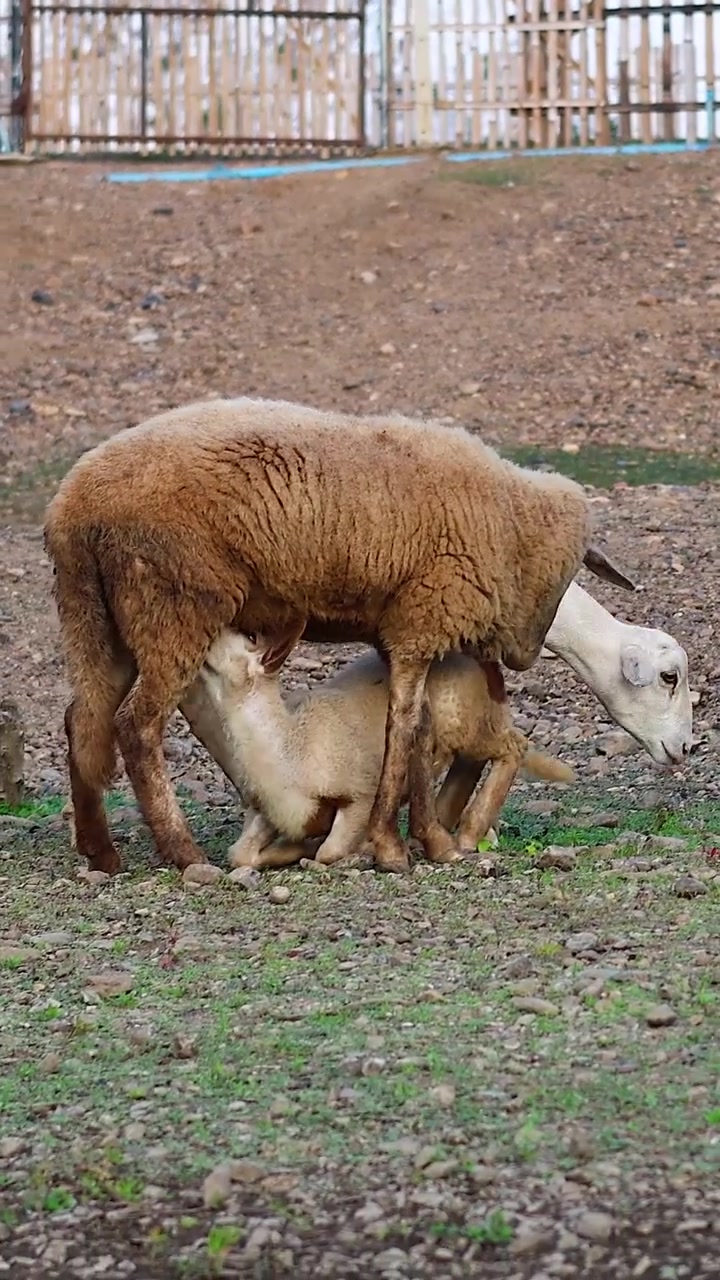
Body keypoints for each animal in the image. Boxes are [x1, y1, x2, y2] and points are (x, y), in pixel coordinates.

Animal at [194, 629, 575, 870]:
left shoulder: (360, 792)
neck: (290, 751)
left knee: (514, 744)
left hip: (464, 719)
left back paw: (466, 833)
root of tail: (485, 664)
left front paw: (345, 848)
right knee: (469, 763)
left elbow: (329, 851)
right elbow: (238, 854)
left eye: (248, 637)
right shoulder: (264, 808)